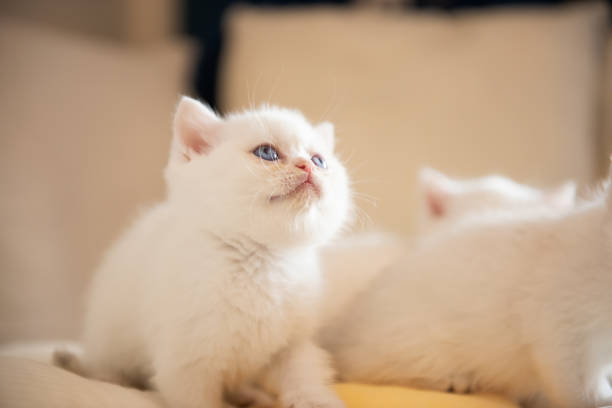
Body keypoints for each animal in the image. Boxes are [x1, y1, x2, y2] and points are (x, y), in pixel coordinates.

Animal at [76, 97, 352, 408]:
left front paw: (317, 400)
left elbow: (304, 377)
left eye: (319, 160)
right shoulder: (186, 364)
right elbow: (200, 399)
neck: (260, 261)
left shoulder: (293, 344)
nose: (308, 167)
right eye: (266, 153)